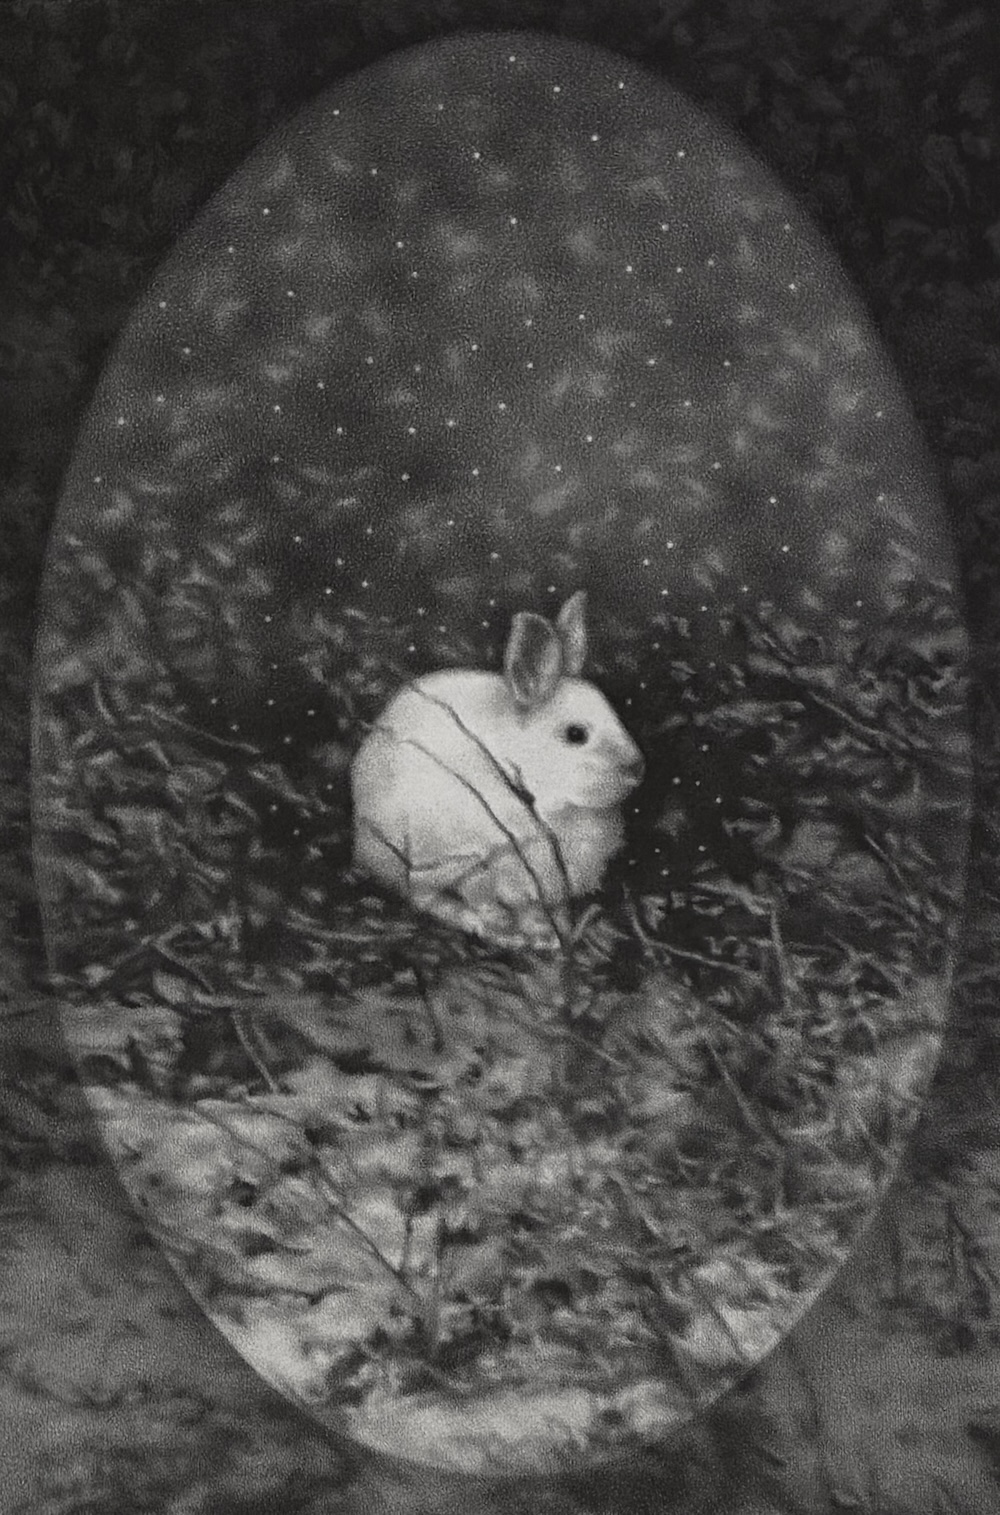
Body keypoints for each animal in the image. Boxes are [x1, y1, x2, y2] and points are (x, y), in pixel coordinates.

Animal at [350, 591, 644, 945]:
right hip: (424, 854)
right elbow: (480, 899)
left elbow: (540, 911)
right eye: (576, 734)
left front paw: (551, 933)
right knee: (422, 897)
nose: (637, 767)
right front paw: (505, 929)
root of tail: (361, 841)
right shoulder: (476, 858)